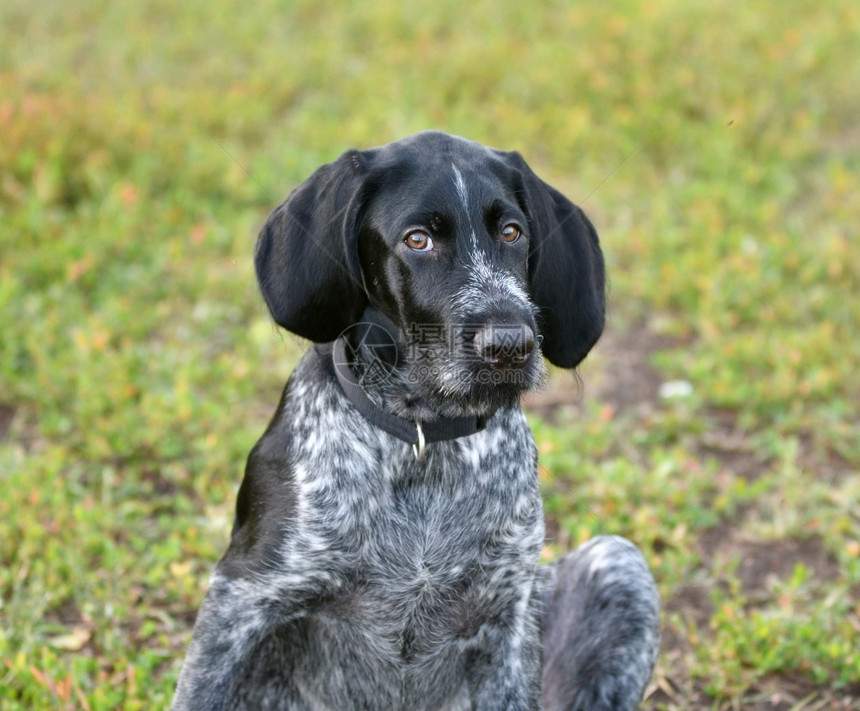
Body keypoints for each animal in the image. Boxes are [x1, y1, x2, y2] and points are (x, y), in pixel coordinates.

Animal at [173, 131, 660, 708]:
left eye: (512, 233)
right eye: (417, 240)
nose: (511, 346)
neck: (425, 437)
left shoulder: (509, 620)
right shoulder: (242, 595)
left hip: (618, 563)